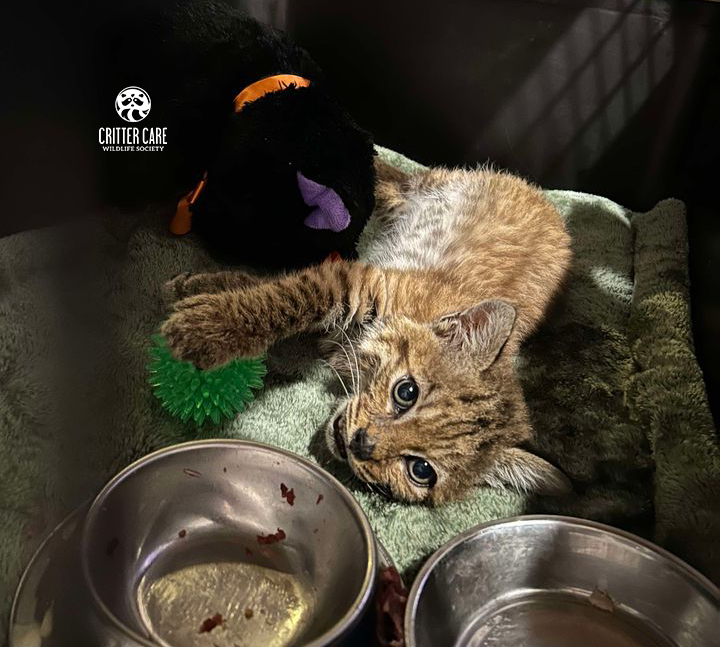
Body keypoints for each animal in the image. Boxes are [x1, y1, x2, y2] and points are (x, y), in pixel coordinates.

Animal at [163, 159, 572, 504]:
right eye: (406, 392)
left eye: (421, 470)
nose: (362, 444)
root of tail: (544, 201)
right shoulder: (365, 282)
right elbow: (288, 297)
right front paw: (204, 325)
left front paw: (205, 295)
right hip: (433, 185)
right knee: (393, 175)